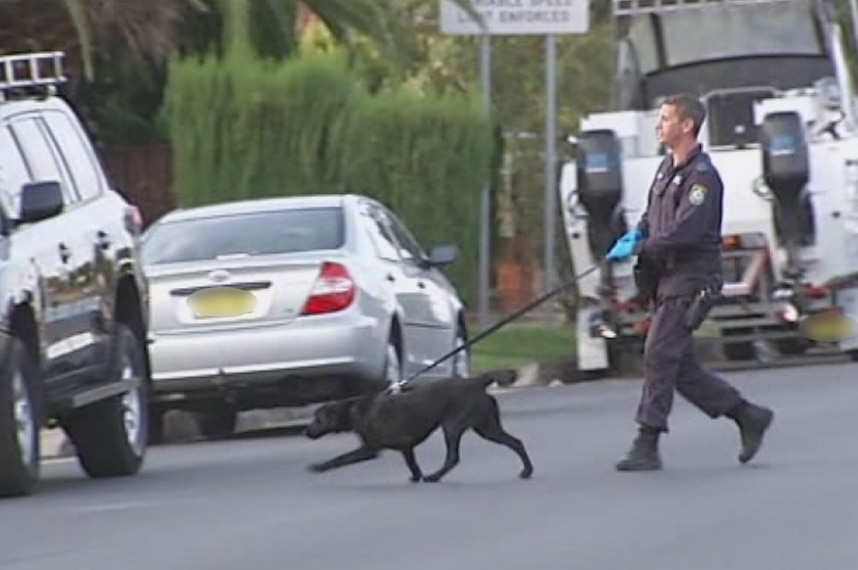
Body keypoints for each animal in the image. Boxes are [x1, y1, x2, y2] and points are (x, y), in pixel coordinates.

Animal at [304, 366, 532, 482]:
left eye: (318, 418)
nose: (307, 432)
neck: (354, 409)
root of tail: (476, 381)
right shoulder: (406, 447)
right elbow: (411, 463)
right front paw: (416, 476)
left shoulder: (370, 449)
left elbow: (341, 458)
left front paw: (320, 466)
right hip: (487, 427)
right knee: (516, 442)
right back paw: (527, 471)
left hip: (453, 426)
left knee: (453, 457)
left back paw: (435, 476)